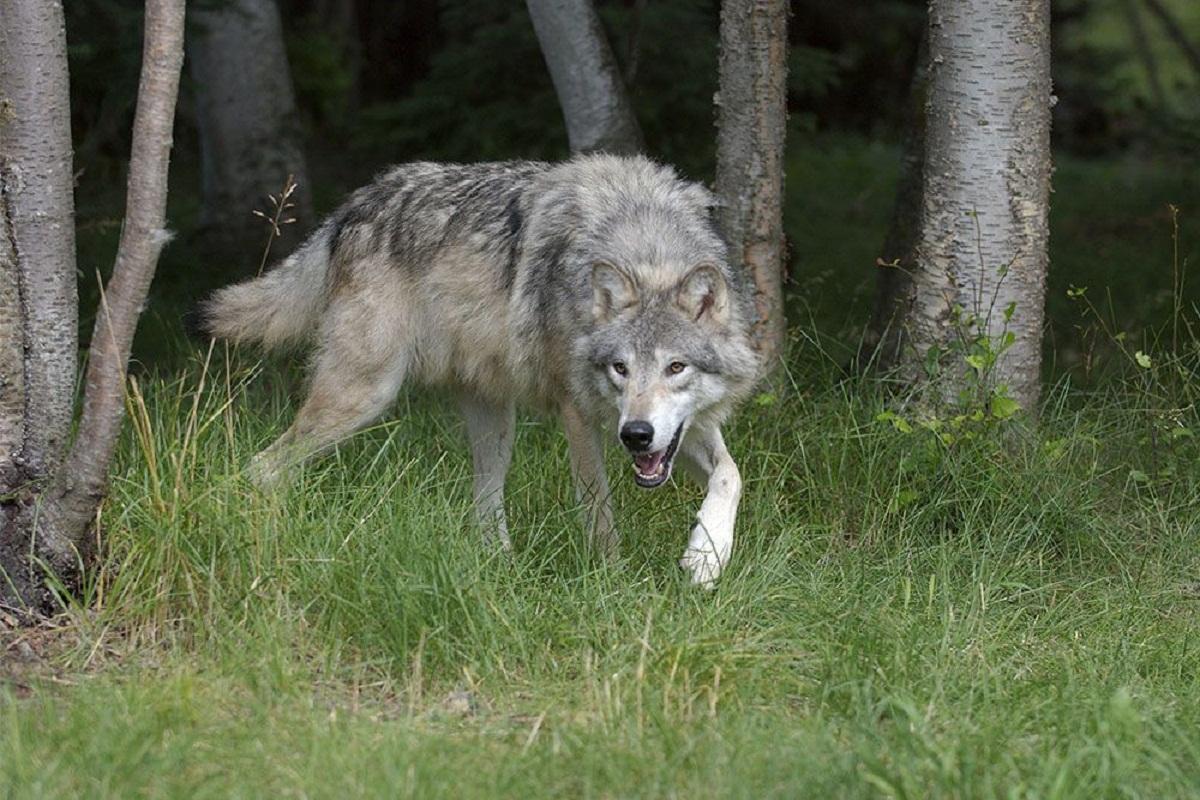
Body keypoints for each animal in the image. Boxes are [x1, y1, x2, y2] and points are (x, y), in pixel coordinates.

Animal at [199, 153, 758, 585]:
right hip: (362, 398)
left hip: (494, 425)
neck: (646, 242)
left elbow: (732, 475)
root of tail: (361, 200)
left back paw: (501, 570)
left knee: (485, 511)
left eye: (675, 367)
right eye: (620, 368)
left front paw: (707, 557)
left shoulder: (684, 430)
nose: (636, 435)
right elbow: (599, 511)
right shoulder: (577, 413)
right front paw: (614, 582)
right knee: (263, 468)